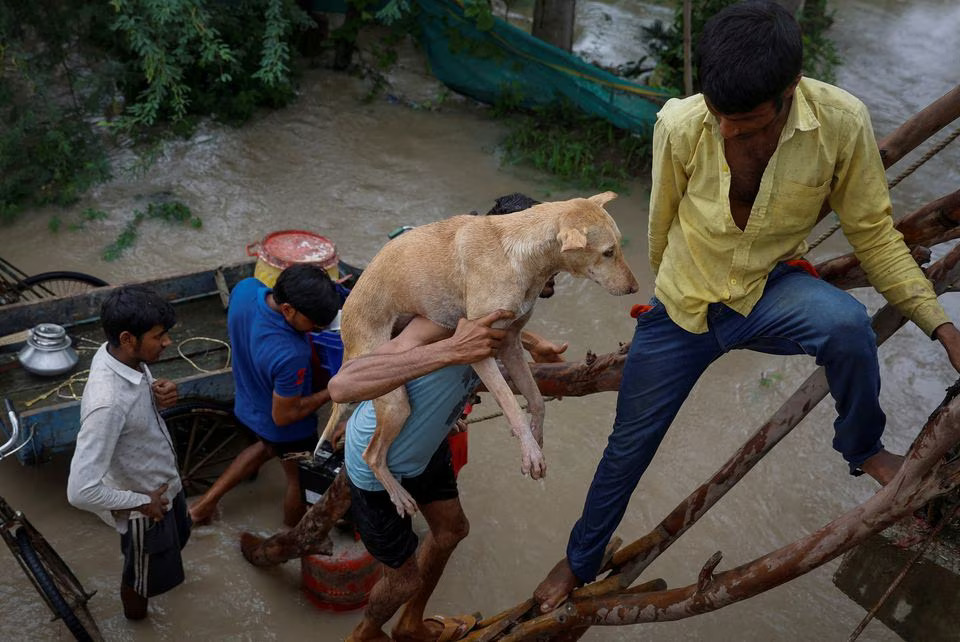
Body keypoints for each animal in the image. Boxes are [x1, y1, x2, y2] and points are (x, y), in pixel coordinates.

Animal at [318, 191, 640, 516]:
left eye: (618, 246)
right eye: (608, 252)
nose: (635, 288)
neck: (519, 256)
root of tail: (347, 326)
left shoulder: (510, 343)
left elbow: (536, 400)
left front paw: (535, 434)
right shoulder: (481, 351)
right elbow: (511, 404)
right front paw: (530, 450)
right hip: (395, 401)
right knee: (371, 453)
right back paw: (397, 492)